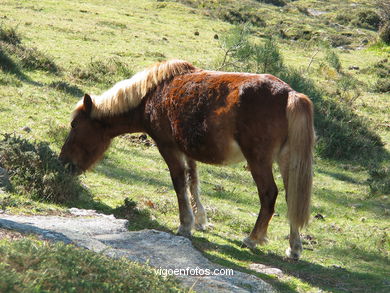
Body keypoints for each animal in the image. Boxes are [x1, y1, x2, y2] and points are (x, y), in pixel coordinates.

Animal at [59, 58, 314, 258]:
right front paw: (199, 220)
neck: (152, 95)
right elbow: (193, 182)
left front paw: (185, 225)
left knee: (269, 194)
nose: (63, 162)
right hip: (287, 161)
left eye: (74, 125)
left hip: (258, 161)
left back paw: (253, 238)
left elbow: (179, 183)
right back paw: (294, 248)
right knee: (292, 198)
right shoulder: (187, 151)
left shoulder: (169, 148)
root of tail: (289, 94)